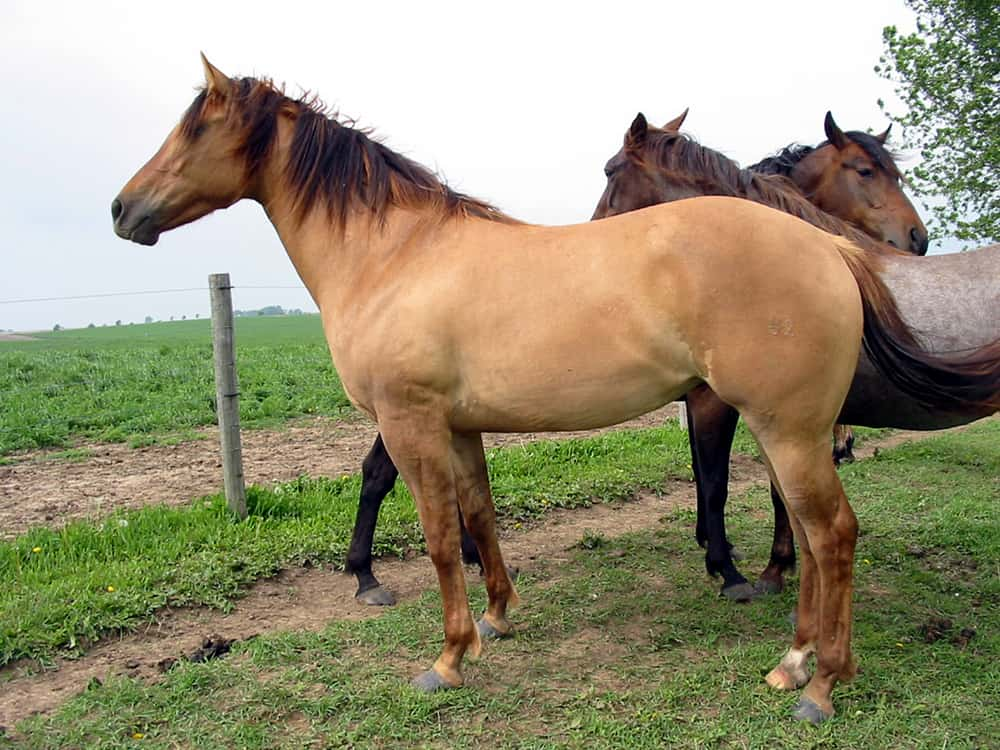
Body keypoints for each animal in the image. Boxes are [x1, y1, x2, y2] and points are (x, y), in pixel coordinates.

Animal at [592, 110, 1000, 600]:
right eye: (867, 171)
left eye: (609, 170)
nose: (916, 239)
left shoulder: (736, 408)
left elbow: (723, 483)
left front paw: (744, 568)